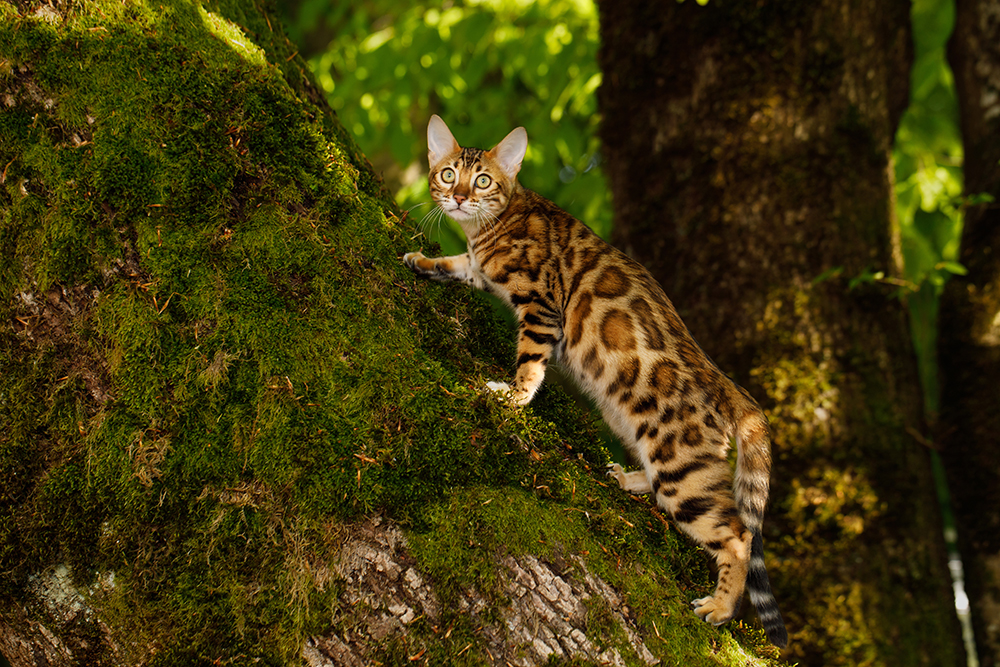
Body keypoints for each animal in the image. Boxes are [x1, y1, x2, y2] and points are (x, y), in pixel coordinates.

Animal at [402, 115, 784, 648]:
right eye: (447, 173)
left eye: (481, 181)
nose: (457, 197)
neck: (491, 226)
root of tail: (729, 385)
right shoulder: (479, 269)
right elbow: (459, 265)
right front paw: (424, 260)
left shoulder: (542, 306)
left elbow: (530, 363)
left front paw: (514, 397)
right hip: (628, 419)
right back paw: (630, 478)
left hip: (681, 464)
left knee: (738, 534)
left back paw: (722, 605)